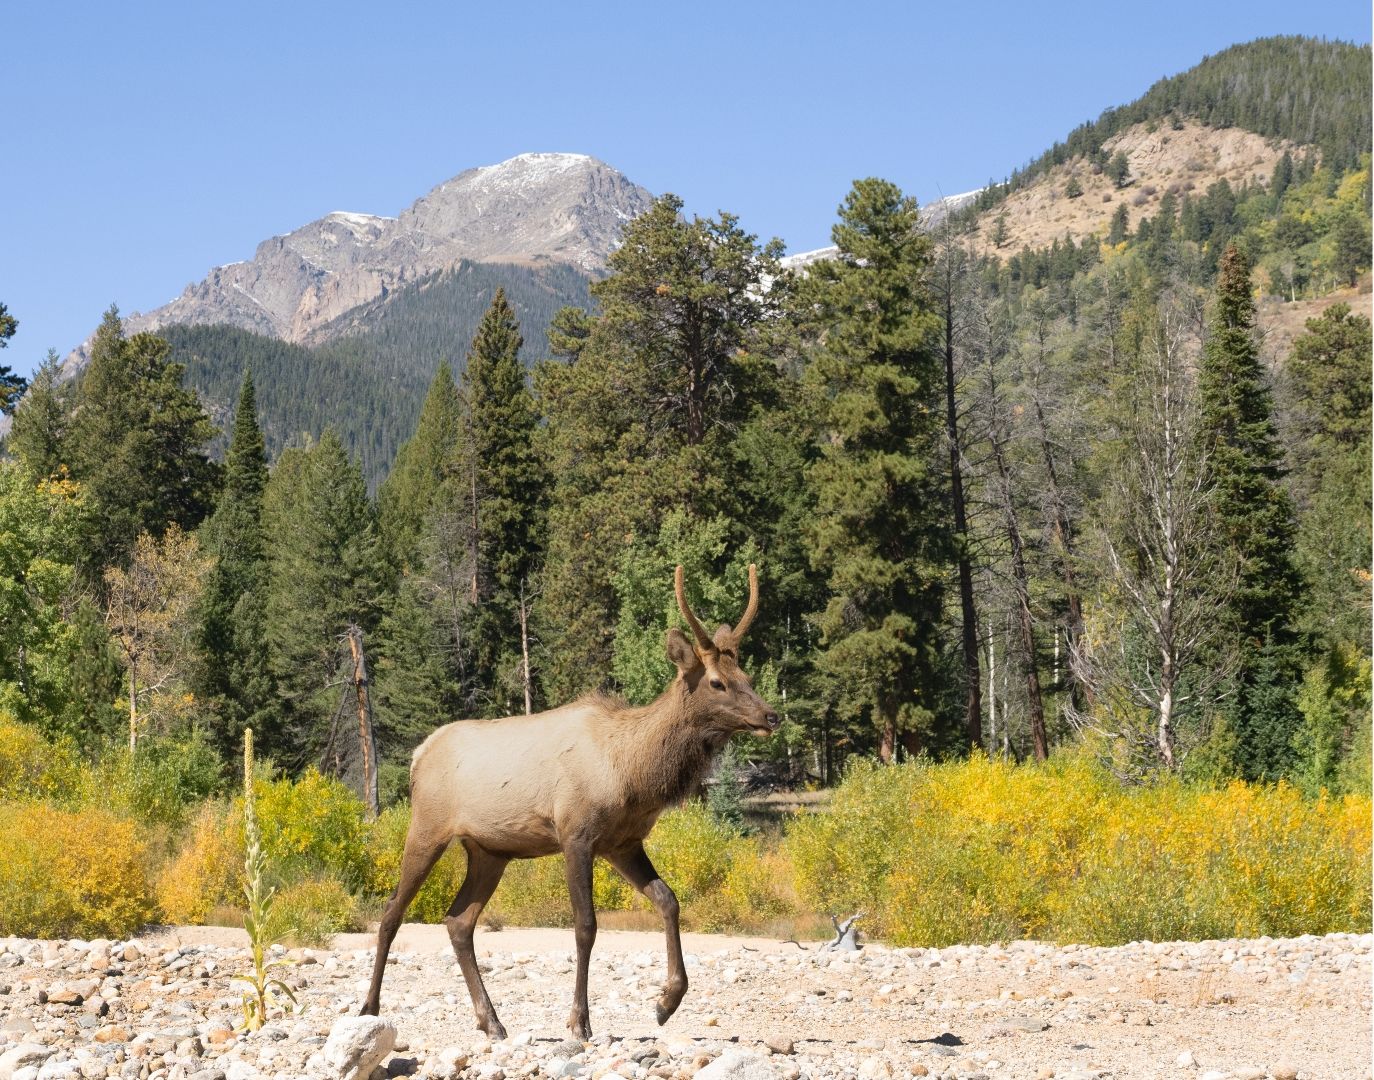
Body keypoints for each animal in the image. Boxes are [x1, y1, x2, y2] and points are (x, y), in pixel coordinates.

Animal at [361, 564, 778, 1040]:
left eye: (748, 677)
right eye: (717, 682)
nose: (771, 716)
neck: (633, 772)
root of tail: (418, 755)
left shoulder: (622, 843)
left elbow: (668, 900)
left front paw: (666, 1002)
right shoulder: (575, 833)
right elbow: (585, 925)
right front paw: (580, 1020)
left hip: (489, 850)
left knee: (459, 920)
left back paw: (492, 1021)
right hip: (428, 828)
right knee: (392, 911)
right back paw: (370, 1008)